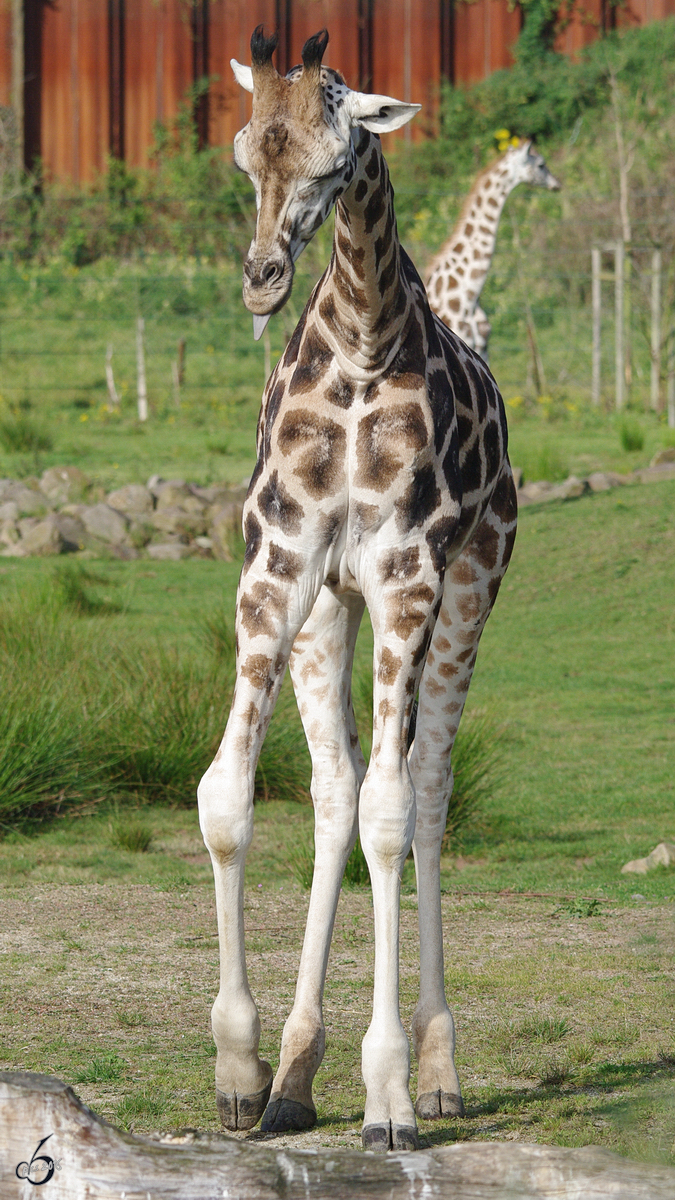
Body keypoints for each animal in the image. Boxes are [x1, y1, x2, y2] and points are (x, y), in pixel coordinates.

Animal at [196, 25, 516, 1152]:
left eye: (336, 161)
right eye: (244, 151)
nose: (261, 279)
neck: (364, 347)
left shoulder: (407, 575)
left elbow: (391, 809)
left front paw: (388, 1097)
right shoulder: (280, 567)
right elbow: (228, 798)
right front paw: (240, 1067)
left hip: (471, 589)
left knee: (423, 793)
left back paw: (436, 1072)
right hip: (326, 615)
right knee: (334, 794)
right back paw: (296, 1074)